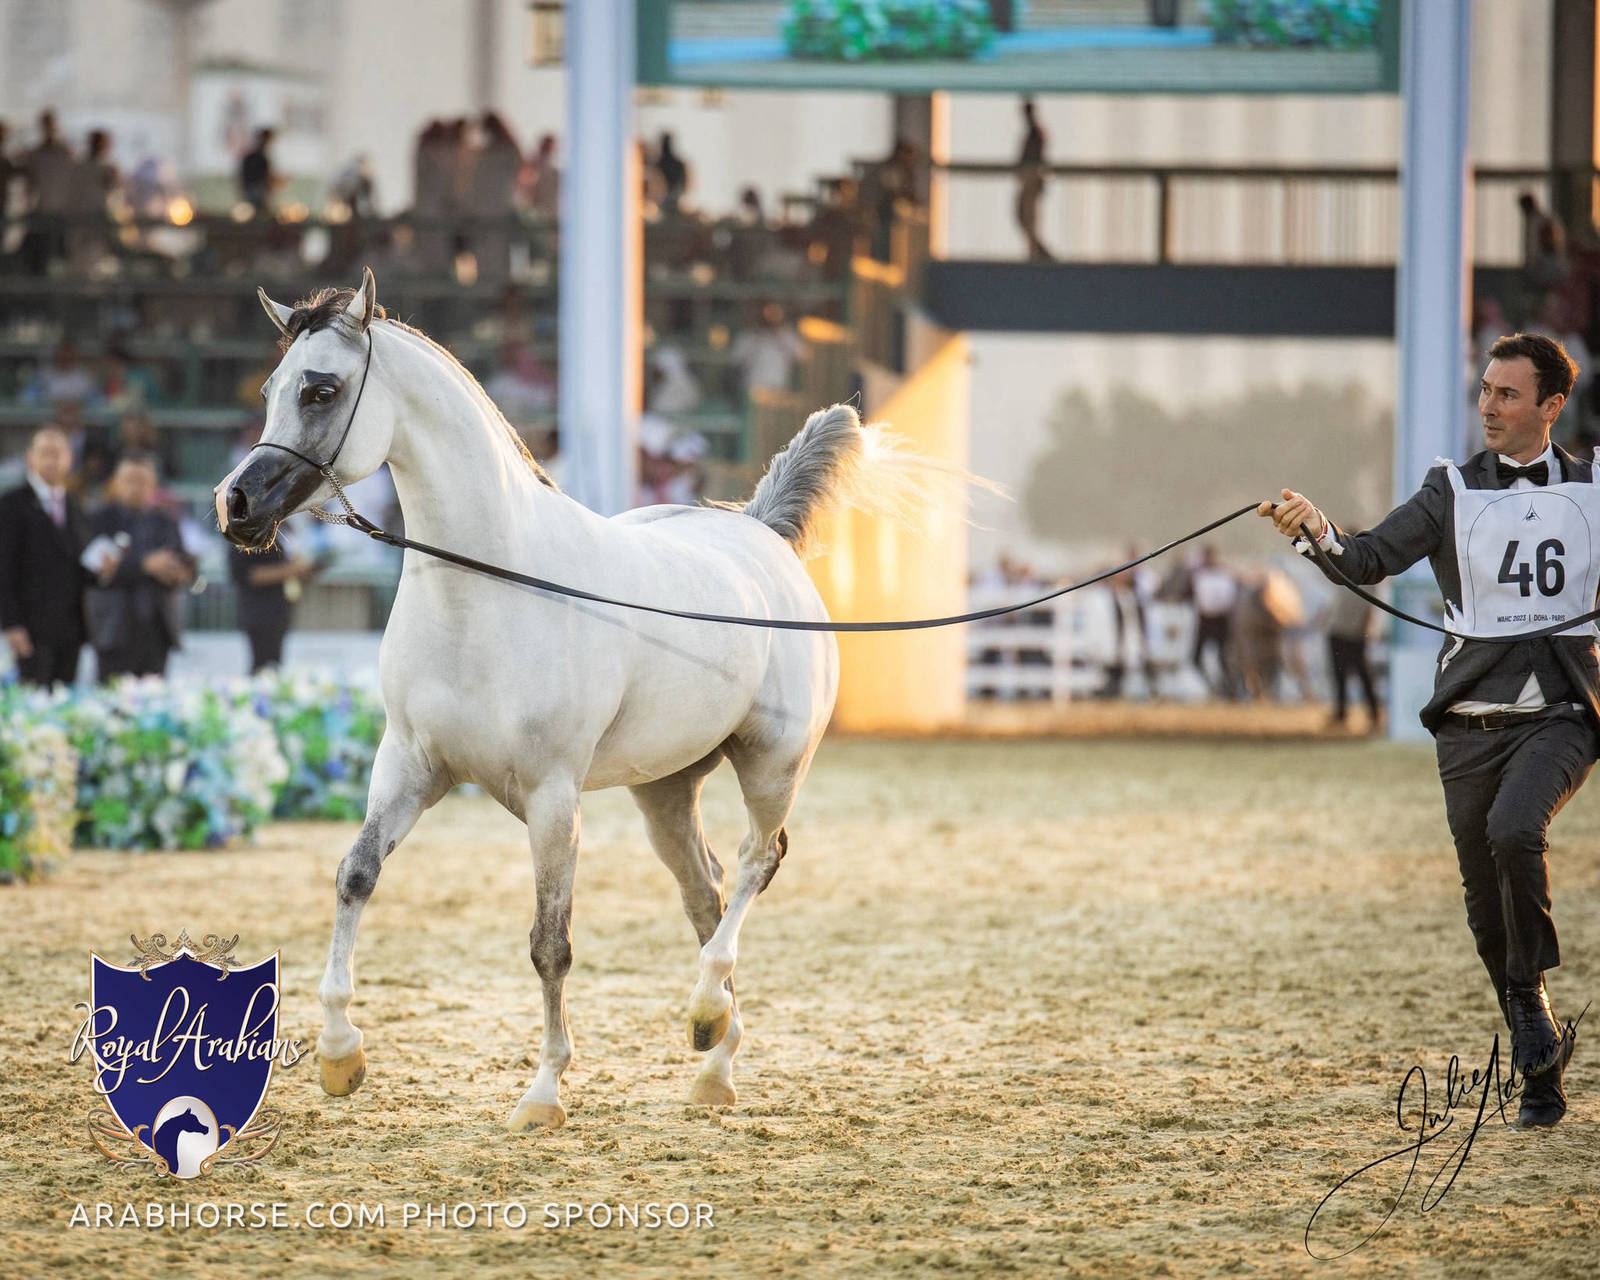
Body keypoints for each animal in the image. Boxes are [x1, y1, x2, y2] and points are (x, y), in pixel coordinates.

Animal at [216, 268, 937, 1131]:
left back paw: (705, 1015)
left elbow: (549, 941)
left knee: (756, 863)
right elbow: (355, 876)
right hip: (665, 791)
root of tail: (763, 534)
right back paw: (715, 1062)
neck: (488, 591)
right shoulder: (409, 766)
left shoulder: (553, 796)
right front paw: (339, 1055)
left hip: (772, 766)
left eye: (321, 389)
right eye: (269, 389)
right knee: (705, 891)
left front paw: (543, 1092)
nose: (236, 505)